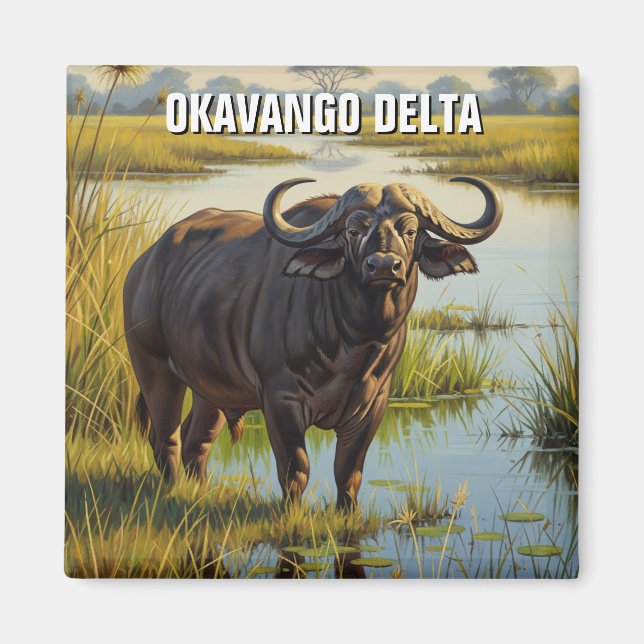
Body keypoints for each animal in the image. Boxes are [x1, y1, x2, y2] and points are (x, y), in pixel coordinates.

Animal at [123, 176, 502, 508]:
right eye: (353, 230)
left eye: (410, 231)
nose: (383, 266)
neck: (351, 344)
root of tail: (145, 263)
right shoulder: (280, 401)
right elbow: (296, 469)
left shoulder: (374, 403)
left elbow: (348, 472)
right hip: (154, 368)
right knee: (166, 438)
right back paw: (170, 493)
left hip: (210, 388)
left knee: (196, 440)